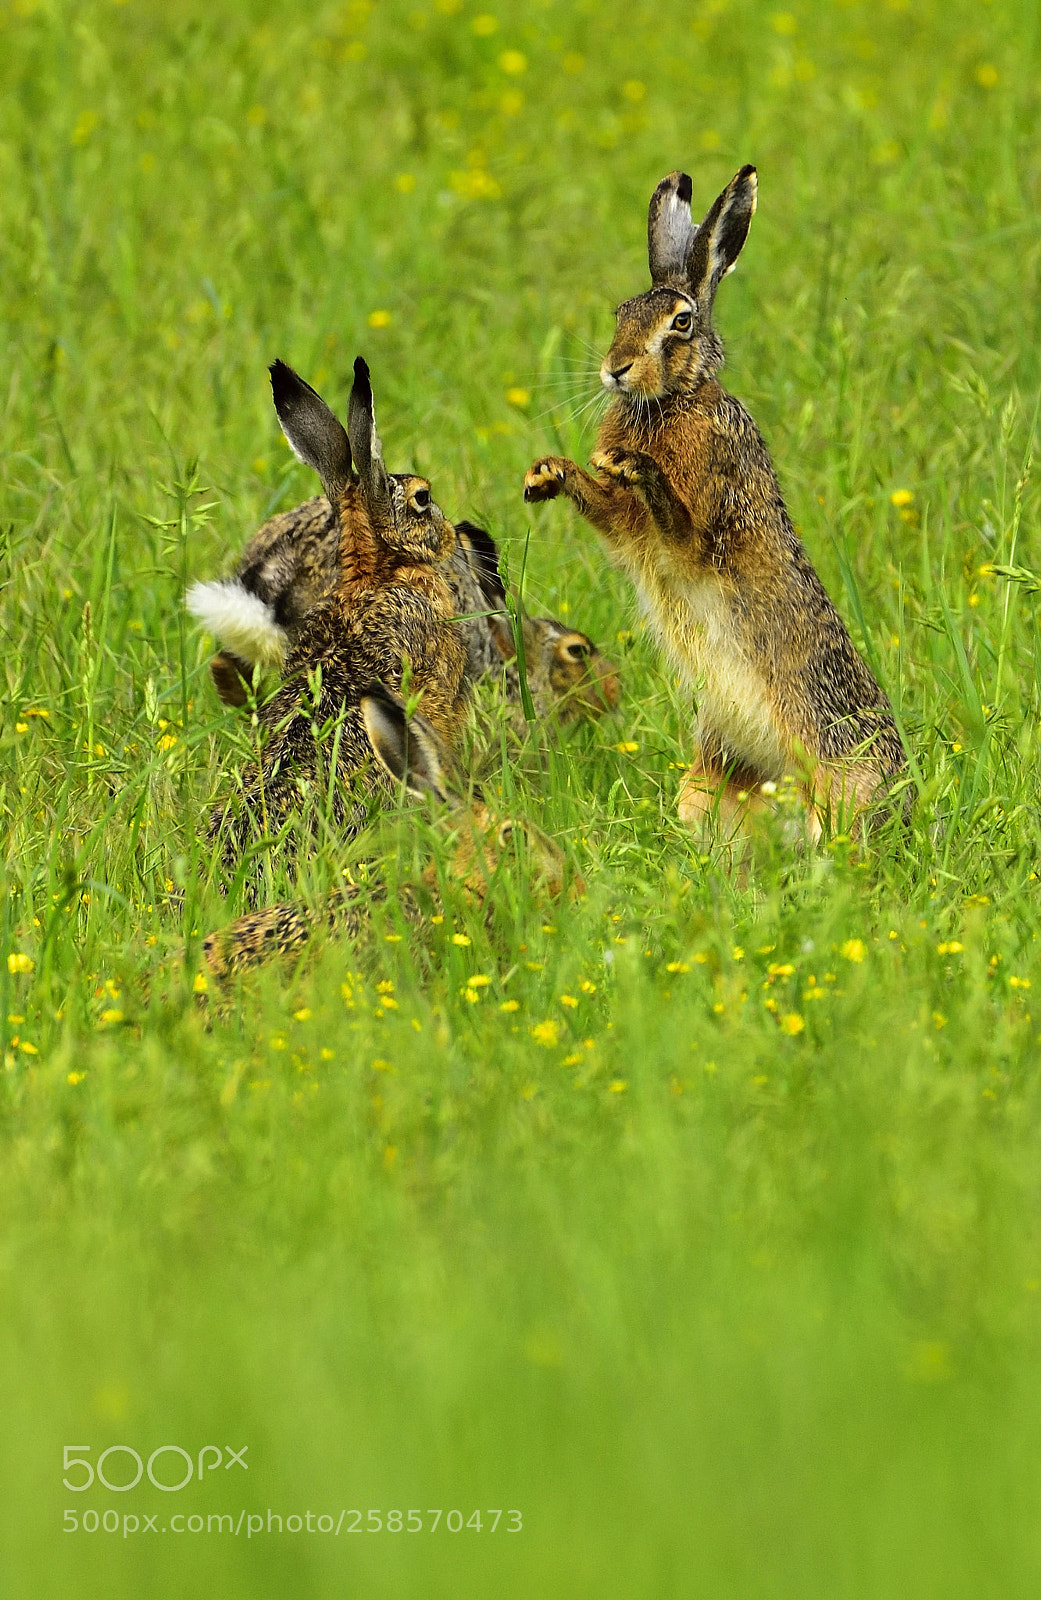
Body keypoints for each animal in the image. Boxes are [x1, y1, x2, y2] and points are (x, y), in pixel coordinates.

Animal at [523, 166, 907, 838]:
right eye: (621, 313)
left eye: (680, 322)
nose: (615, 369)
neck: (675, 398)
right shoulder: (627, 531)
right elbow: (604, 507)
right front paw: (549, 473)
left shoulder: (702, 528)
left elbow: (678, 525)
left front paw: (635, 465)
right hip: (707, 785)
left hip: (839, 785)